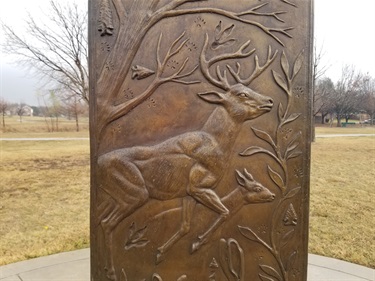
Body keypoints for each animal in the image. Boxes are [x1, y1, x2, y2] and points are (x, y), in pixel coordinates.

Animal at [97, 33, 280, 280]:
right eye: (242, 94)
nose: (269, 101)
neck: (216, 144)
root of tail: (98, 163)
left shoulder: (187, 193)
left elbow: (185, 225)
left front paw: (160, 253)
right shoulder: (198, 184)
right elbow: (224, 211)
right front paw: (196, 244)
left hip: (114, 196)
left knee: (100, 219)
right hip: (135, 192)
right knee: (108, 223)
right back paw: (112, 271)